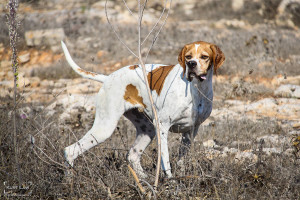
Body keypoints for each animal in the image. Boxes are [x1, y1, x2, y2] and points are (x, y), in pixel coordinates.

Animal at [61, 40, 225, 178]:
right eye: (188, 56)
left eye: (204, 57)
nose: (191, 64)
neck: (196, 88)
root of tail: (108, 78)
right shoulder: (163, 127)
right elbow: (166, 161)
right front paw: (171, 182)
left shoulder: (191, 131)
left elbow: (181, 160)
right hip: (105, 128)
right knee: (70, 151)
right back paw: (70, 180)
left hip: (147, 129)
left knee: (132, 155)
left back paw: (144, 180)